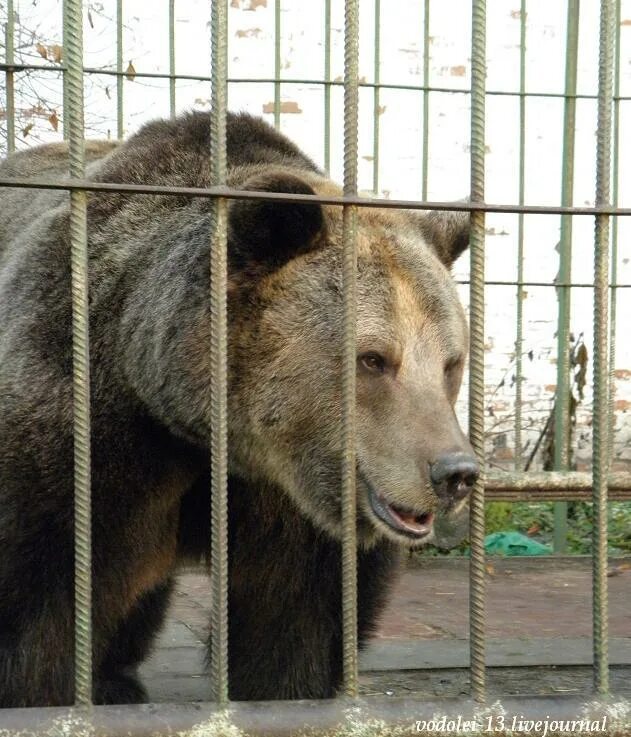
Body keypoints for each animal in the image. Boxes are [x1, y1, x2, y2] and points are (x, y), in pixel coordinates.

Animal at [0, 112, 476, 704]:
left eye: (450, 363)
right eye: (373, 359)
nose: (454, 472)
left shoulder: (288, 497)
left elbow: (292, 617)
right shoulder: (84, 423)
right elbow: (40, 594)